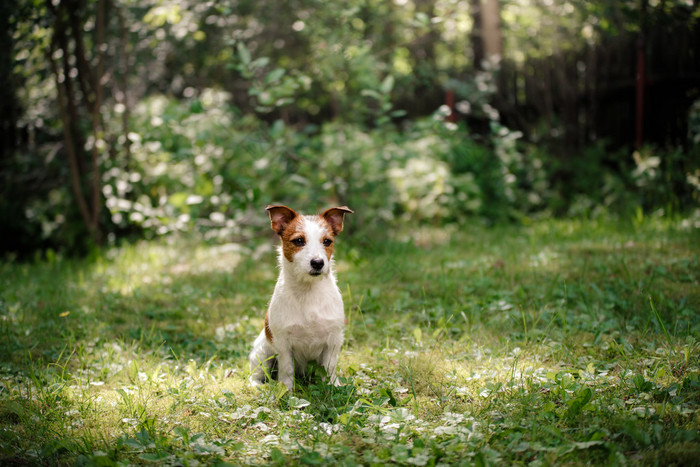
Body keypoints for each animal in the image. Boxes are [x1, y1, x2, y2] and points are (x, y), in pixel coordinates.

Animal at [249, 205, 352, 392]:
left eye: (327, 241)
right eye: (298, 241)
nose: (318, 262)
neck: (308, 291)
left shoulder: (333, 340)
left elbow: (329, 367)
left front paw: (333, 386)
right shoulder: (283, 344)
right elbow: (286, 368)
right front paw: (287, 389)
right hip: (261, 354)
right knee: (257, 373)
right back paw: (257, 385)